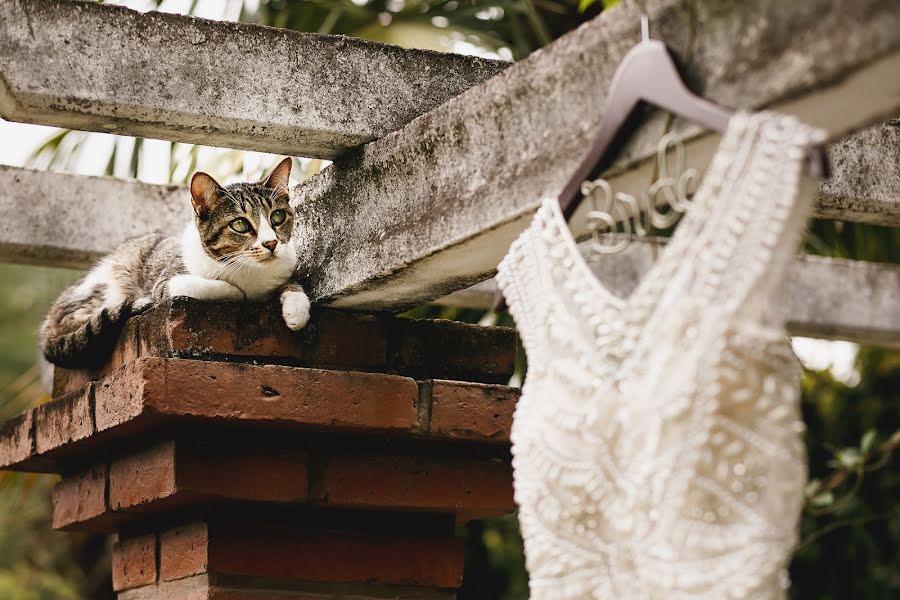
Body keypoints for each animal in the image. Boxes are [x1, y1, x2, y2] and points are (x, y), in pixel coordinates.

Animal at [40, 157, 312, 368]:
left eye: (277, 217)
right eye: (240, 225)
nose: (271, 243)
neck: (250, 269)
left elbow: (290, 282)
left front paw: (296, 308)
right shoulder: (166, 283)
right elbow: (211, 286)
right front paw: (239, 292)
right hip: (102, 289)